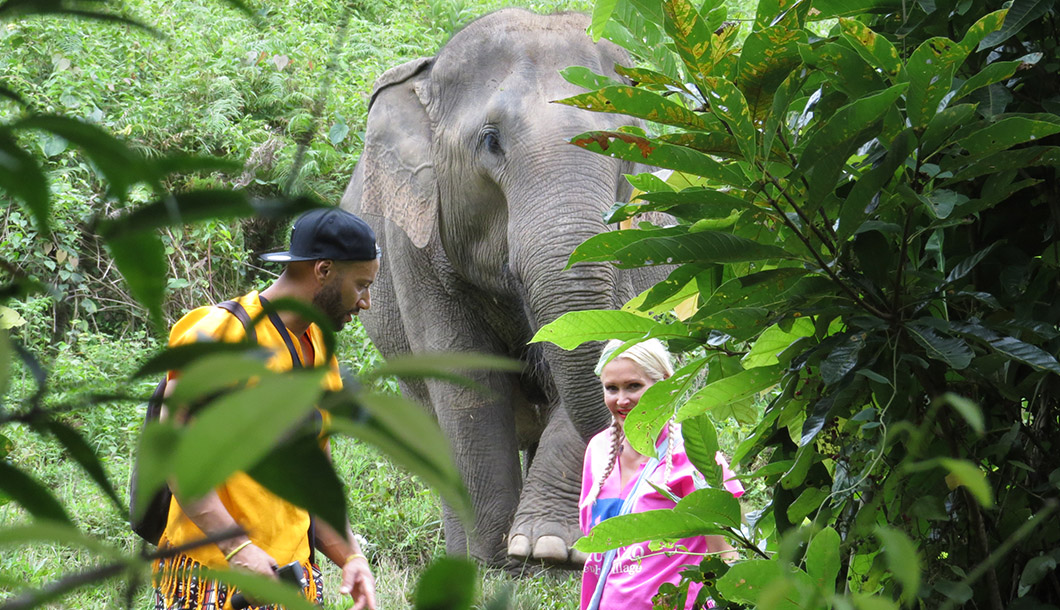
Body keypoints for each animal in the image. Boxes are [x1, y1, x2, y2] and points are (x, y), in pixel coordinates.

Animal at [343, 7, 665, 564]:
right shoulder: (413, 246)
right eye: (491, 141)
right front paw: (493, 561)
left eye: (629, 146)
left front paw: (546, 547)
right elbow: (464, 377)